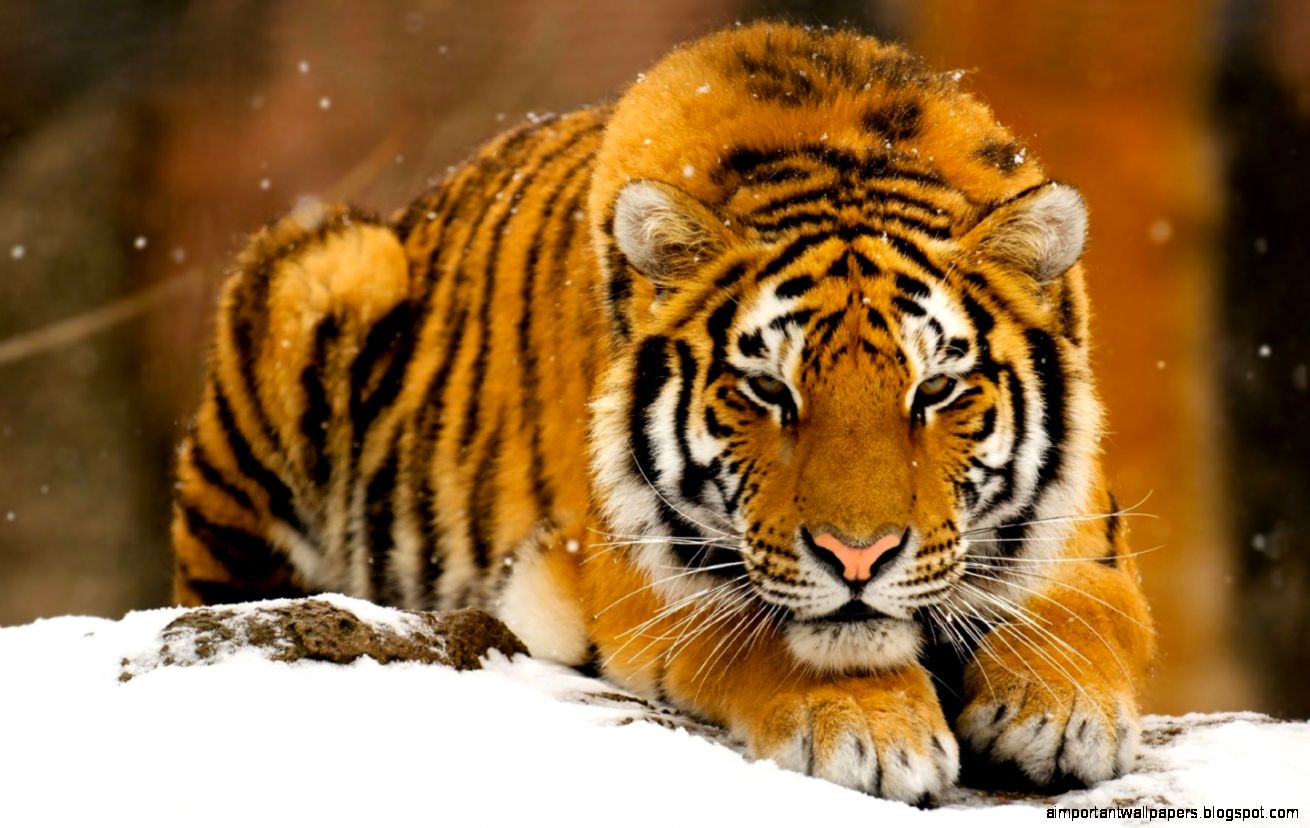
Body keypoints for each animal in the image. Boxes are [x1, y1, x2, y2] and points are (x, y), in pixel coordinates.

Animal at [171, 22, 1155, 802]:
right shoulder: (627, 566)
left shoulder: (1084, 532)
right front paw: (870, 729)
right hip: (322, 275)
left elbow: (1087, 611)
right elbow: (763, 629)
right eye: (769, 390)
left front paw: (1060, 711)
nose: (858, 558)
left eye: (935, 390)